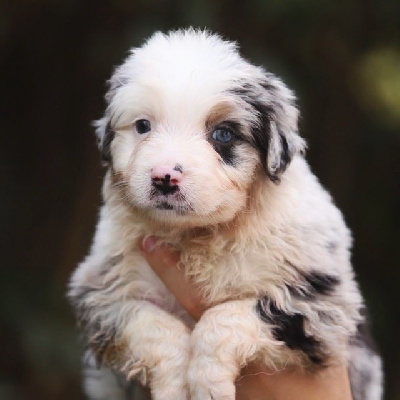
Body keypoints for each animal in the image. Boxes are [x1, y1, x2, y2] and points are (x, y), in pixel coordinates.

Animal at [68, 28, 382, 400]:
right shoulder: (102, 289)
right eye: (143, 126)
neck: (200, 236)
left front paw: (208, 381)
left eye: (223, 134)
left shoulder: (320, 300)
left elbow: (228, 317)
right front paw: (176, 384)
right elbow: (153, 325)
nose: (164, 177)